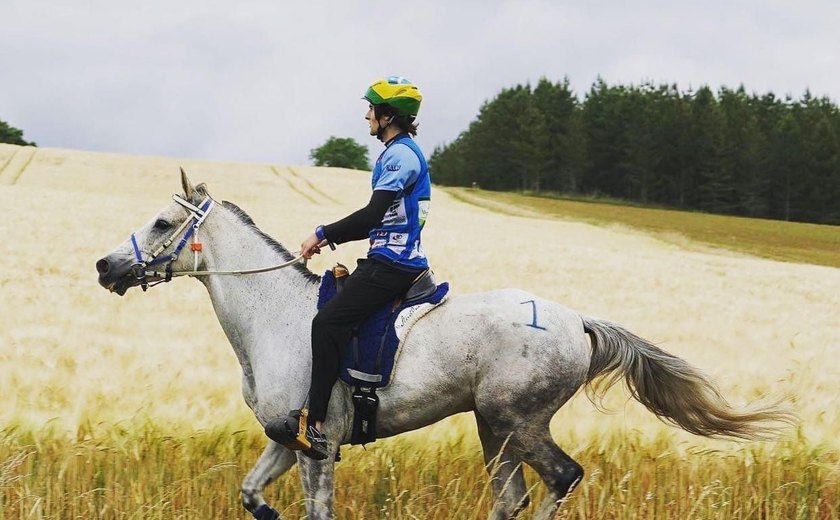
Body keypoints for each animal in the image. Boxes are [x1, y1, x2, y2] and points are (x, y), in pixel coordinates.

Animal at [95, 172, 792, 520]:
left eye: (163, 222)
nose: (105, 267)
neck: (274, 319)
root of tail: (578, 321)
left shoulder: (319, 445)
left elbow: (316, 510)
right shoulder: (285, 440)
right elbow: (251, 495)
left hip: (516, 419)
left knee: (562, 478)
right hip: (494, 428)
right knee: (512, 497)